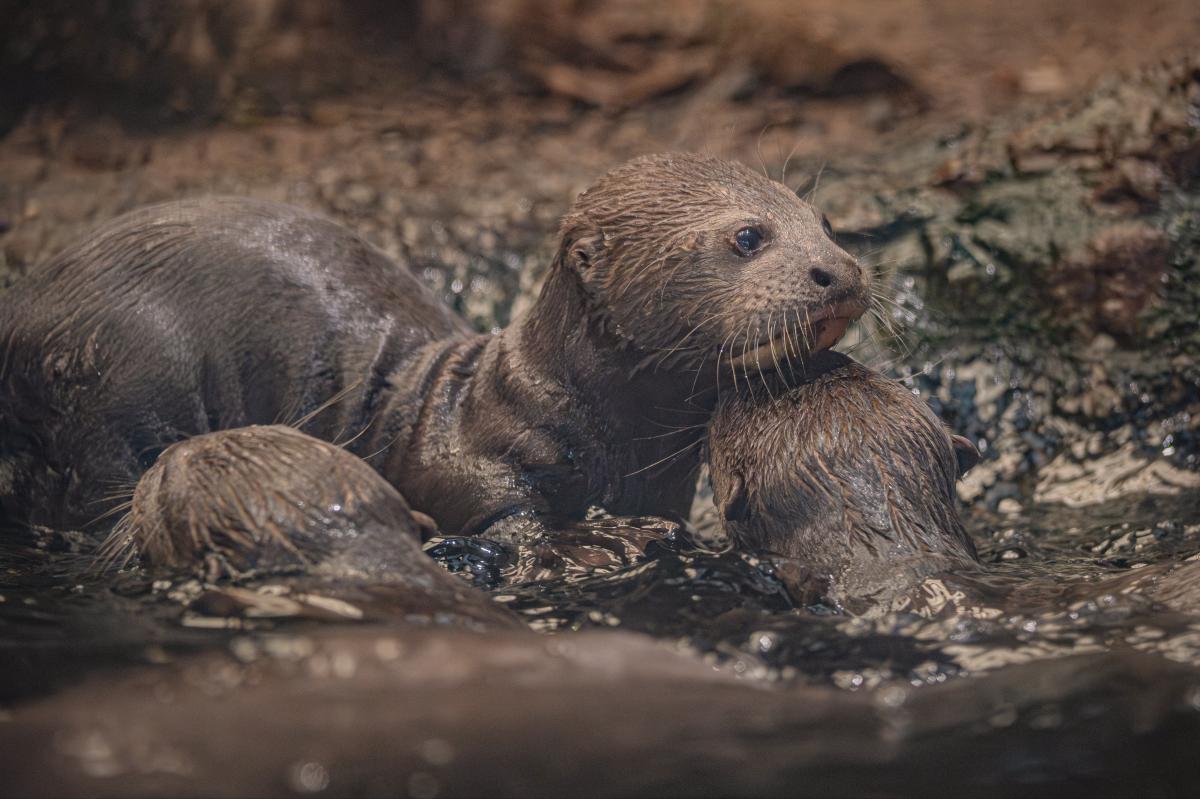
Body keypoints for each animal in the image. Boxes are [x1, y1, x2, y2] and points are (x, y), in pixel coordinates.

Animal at [0, 152, 868, 540]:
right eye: (749, 236)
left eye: (827, 224)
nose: (840, 272)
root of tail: (24, 308)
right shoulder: (474, 465)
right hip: (122, 373)